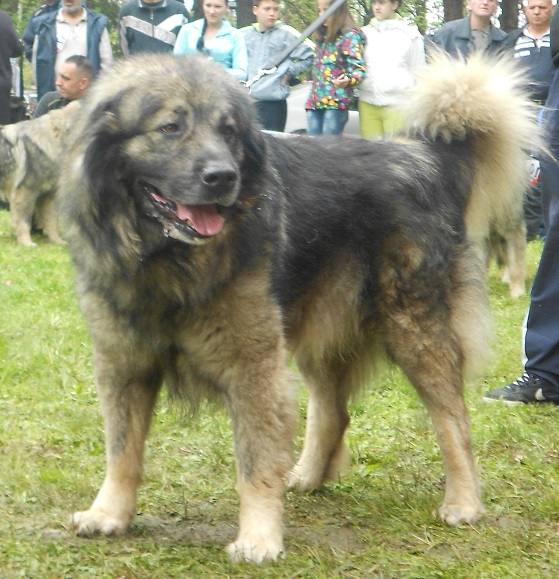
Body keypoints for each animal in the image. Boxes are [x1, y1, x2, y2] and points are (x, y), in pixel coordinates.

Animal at [0, 102, 80, 247]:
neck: (57, 137)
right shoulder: (26, 191)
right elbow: (24, 221)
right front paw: (26, 243)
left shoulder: (49, 195)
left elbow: (52, 220)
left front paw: (56, 241)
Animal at [60, 53, 540, 560]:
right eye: (170, 127)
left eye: (229, 132)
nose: (223, 177)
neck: (165, 259)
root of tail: (424, 158)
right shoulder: (123, 361)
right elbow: (122, 449)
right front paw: (109, 513)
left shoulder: (251, 363)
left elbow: (254, 462)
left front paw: (258, 537)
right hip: (321, 324)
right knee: (334, 412)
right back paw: (307, 477)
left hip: (414, 328)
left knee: (453, 420)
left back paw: (463, 502)